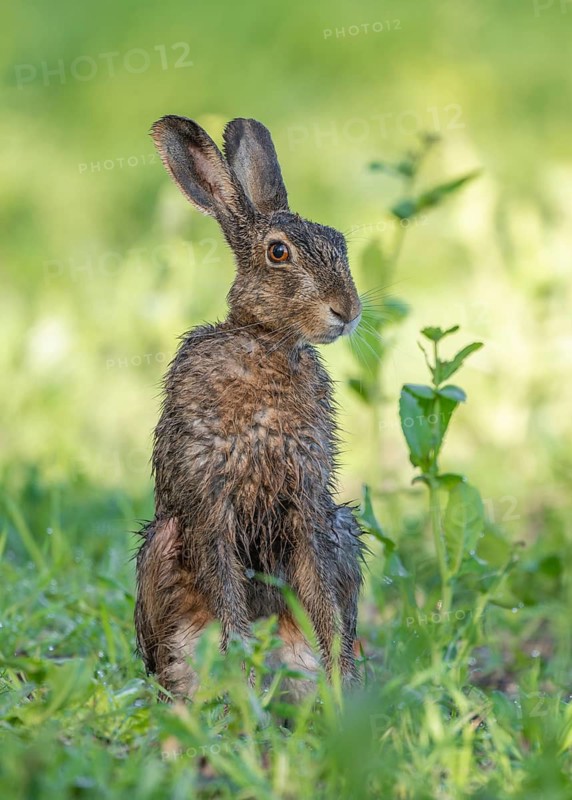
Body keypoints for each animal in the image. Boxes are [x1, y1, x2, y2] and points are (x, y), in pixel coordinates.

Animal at [135, 115, 365, 699]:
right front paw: (243, 677)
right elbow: (228, 604)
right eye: (278, 253)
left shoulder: (307, 504)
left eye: (339, 242)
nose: (347, 311)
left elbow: (322, 602)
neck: (265, 342)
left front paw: (338, 684)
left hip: (342, 528)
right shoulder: (210, 505)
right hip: (161, 545)